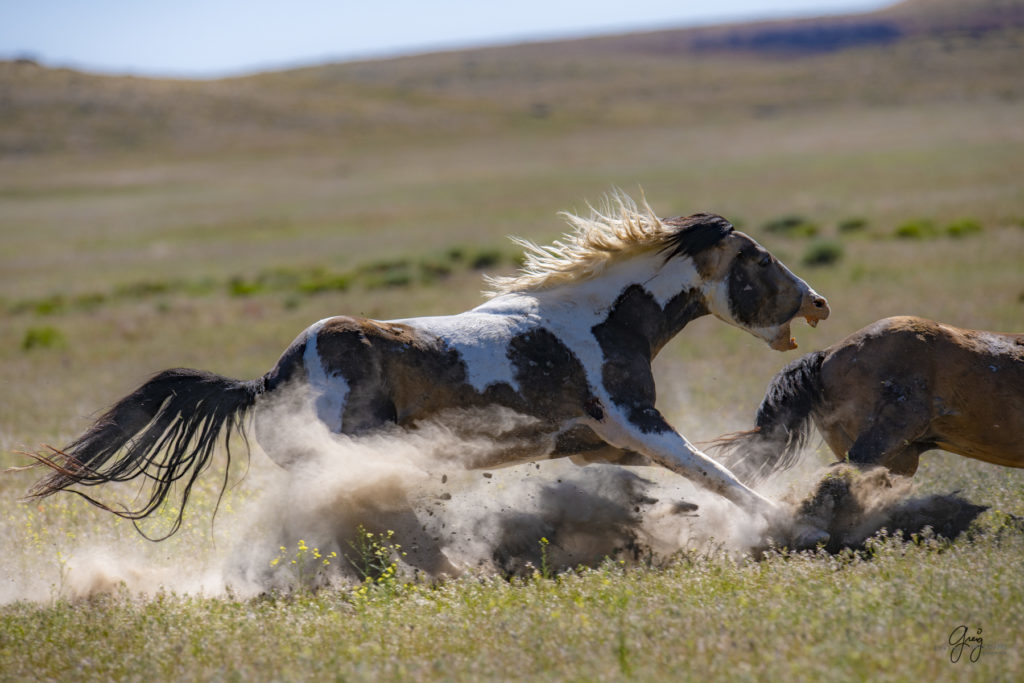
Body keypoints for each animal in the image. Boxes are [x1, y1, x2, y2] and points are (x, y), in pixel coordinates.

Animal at [28, 194, 831, 540]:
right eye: (759, 259)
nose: (818, 302)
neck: (602, 320)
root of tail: (271, 379)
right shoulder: (638, 422)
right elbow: (714, 470)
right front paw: (797, 524)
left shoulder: (599, 441)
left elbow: (706, 468)